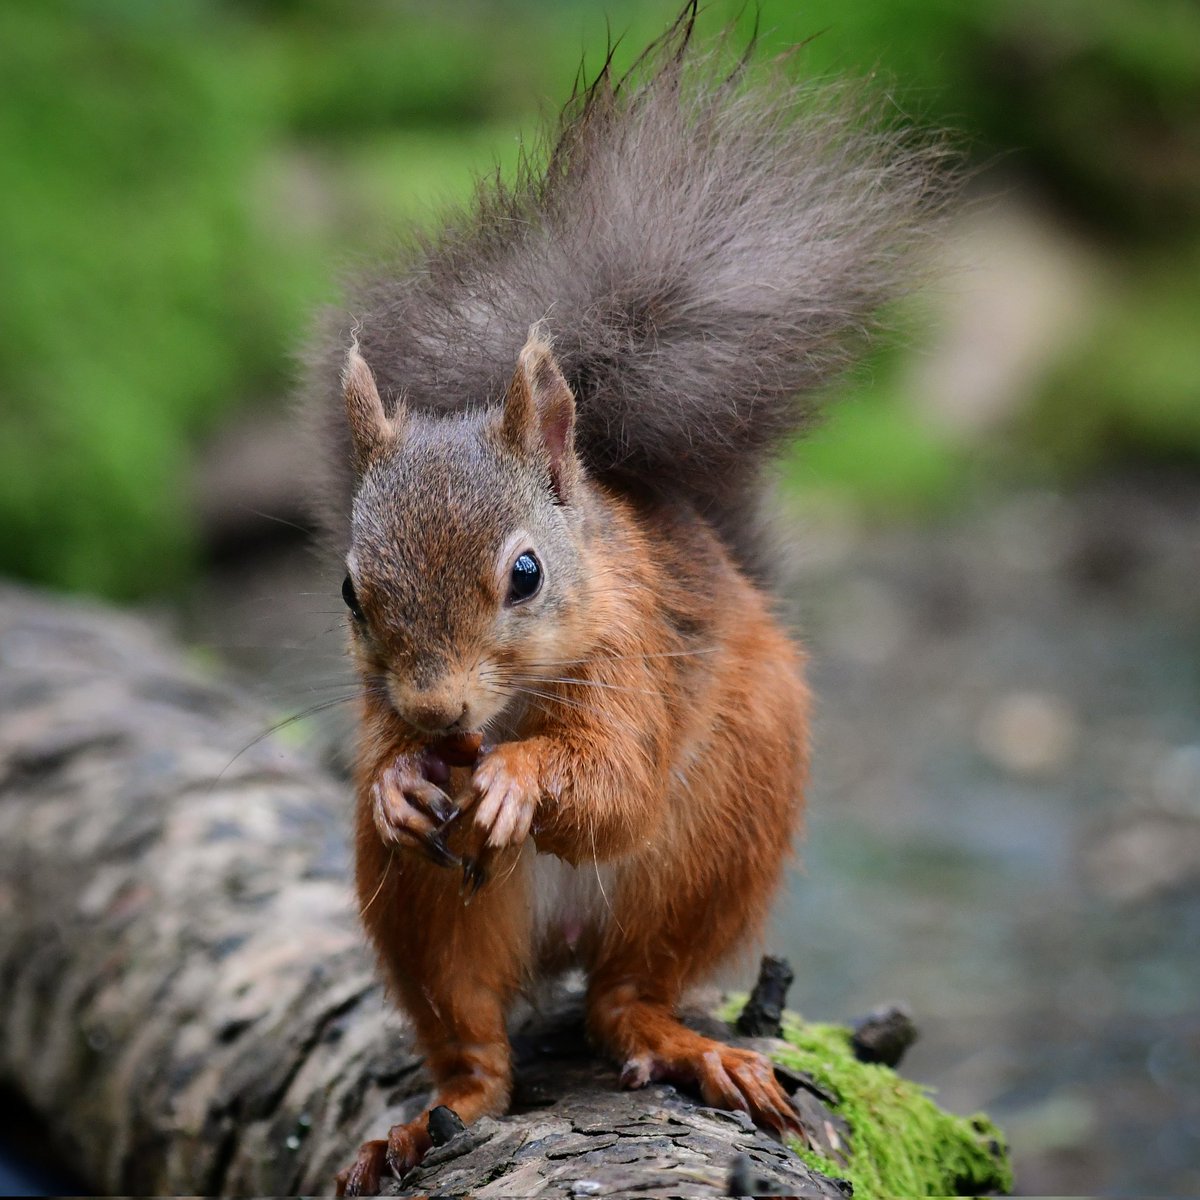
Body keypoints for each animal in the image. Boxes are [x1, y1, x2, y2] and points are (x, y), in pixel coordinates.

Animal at [304, 7, 944, 1194]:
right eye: (351, 591)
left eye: (525, 573)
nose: (437, 713)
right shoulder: (381, 709)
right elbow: (381, 762)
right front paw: (402, 783)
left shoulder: (638, 660)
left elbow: (615, 787)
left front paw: (517, 779)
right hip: (427, 911)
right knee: (474, 1050)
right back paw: (424, 1121)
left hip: (712, 843)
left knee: (625, 998)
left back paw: (687, 1047)